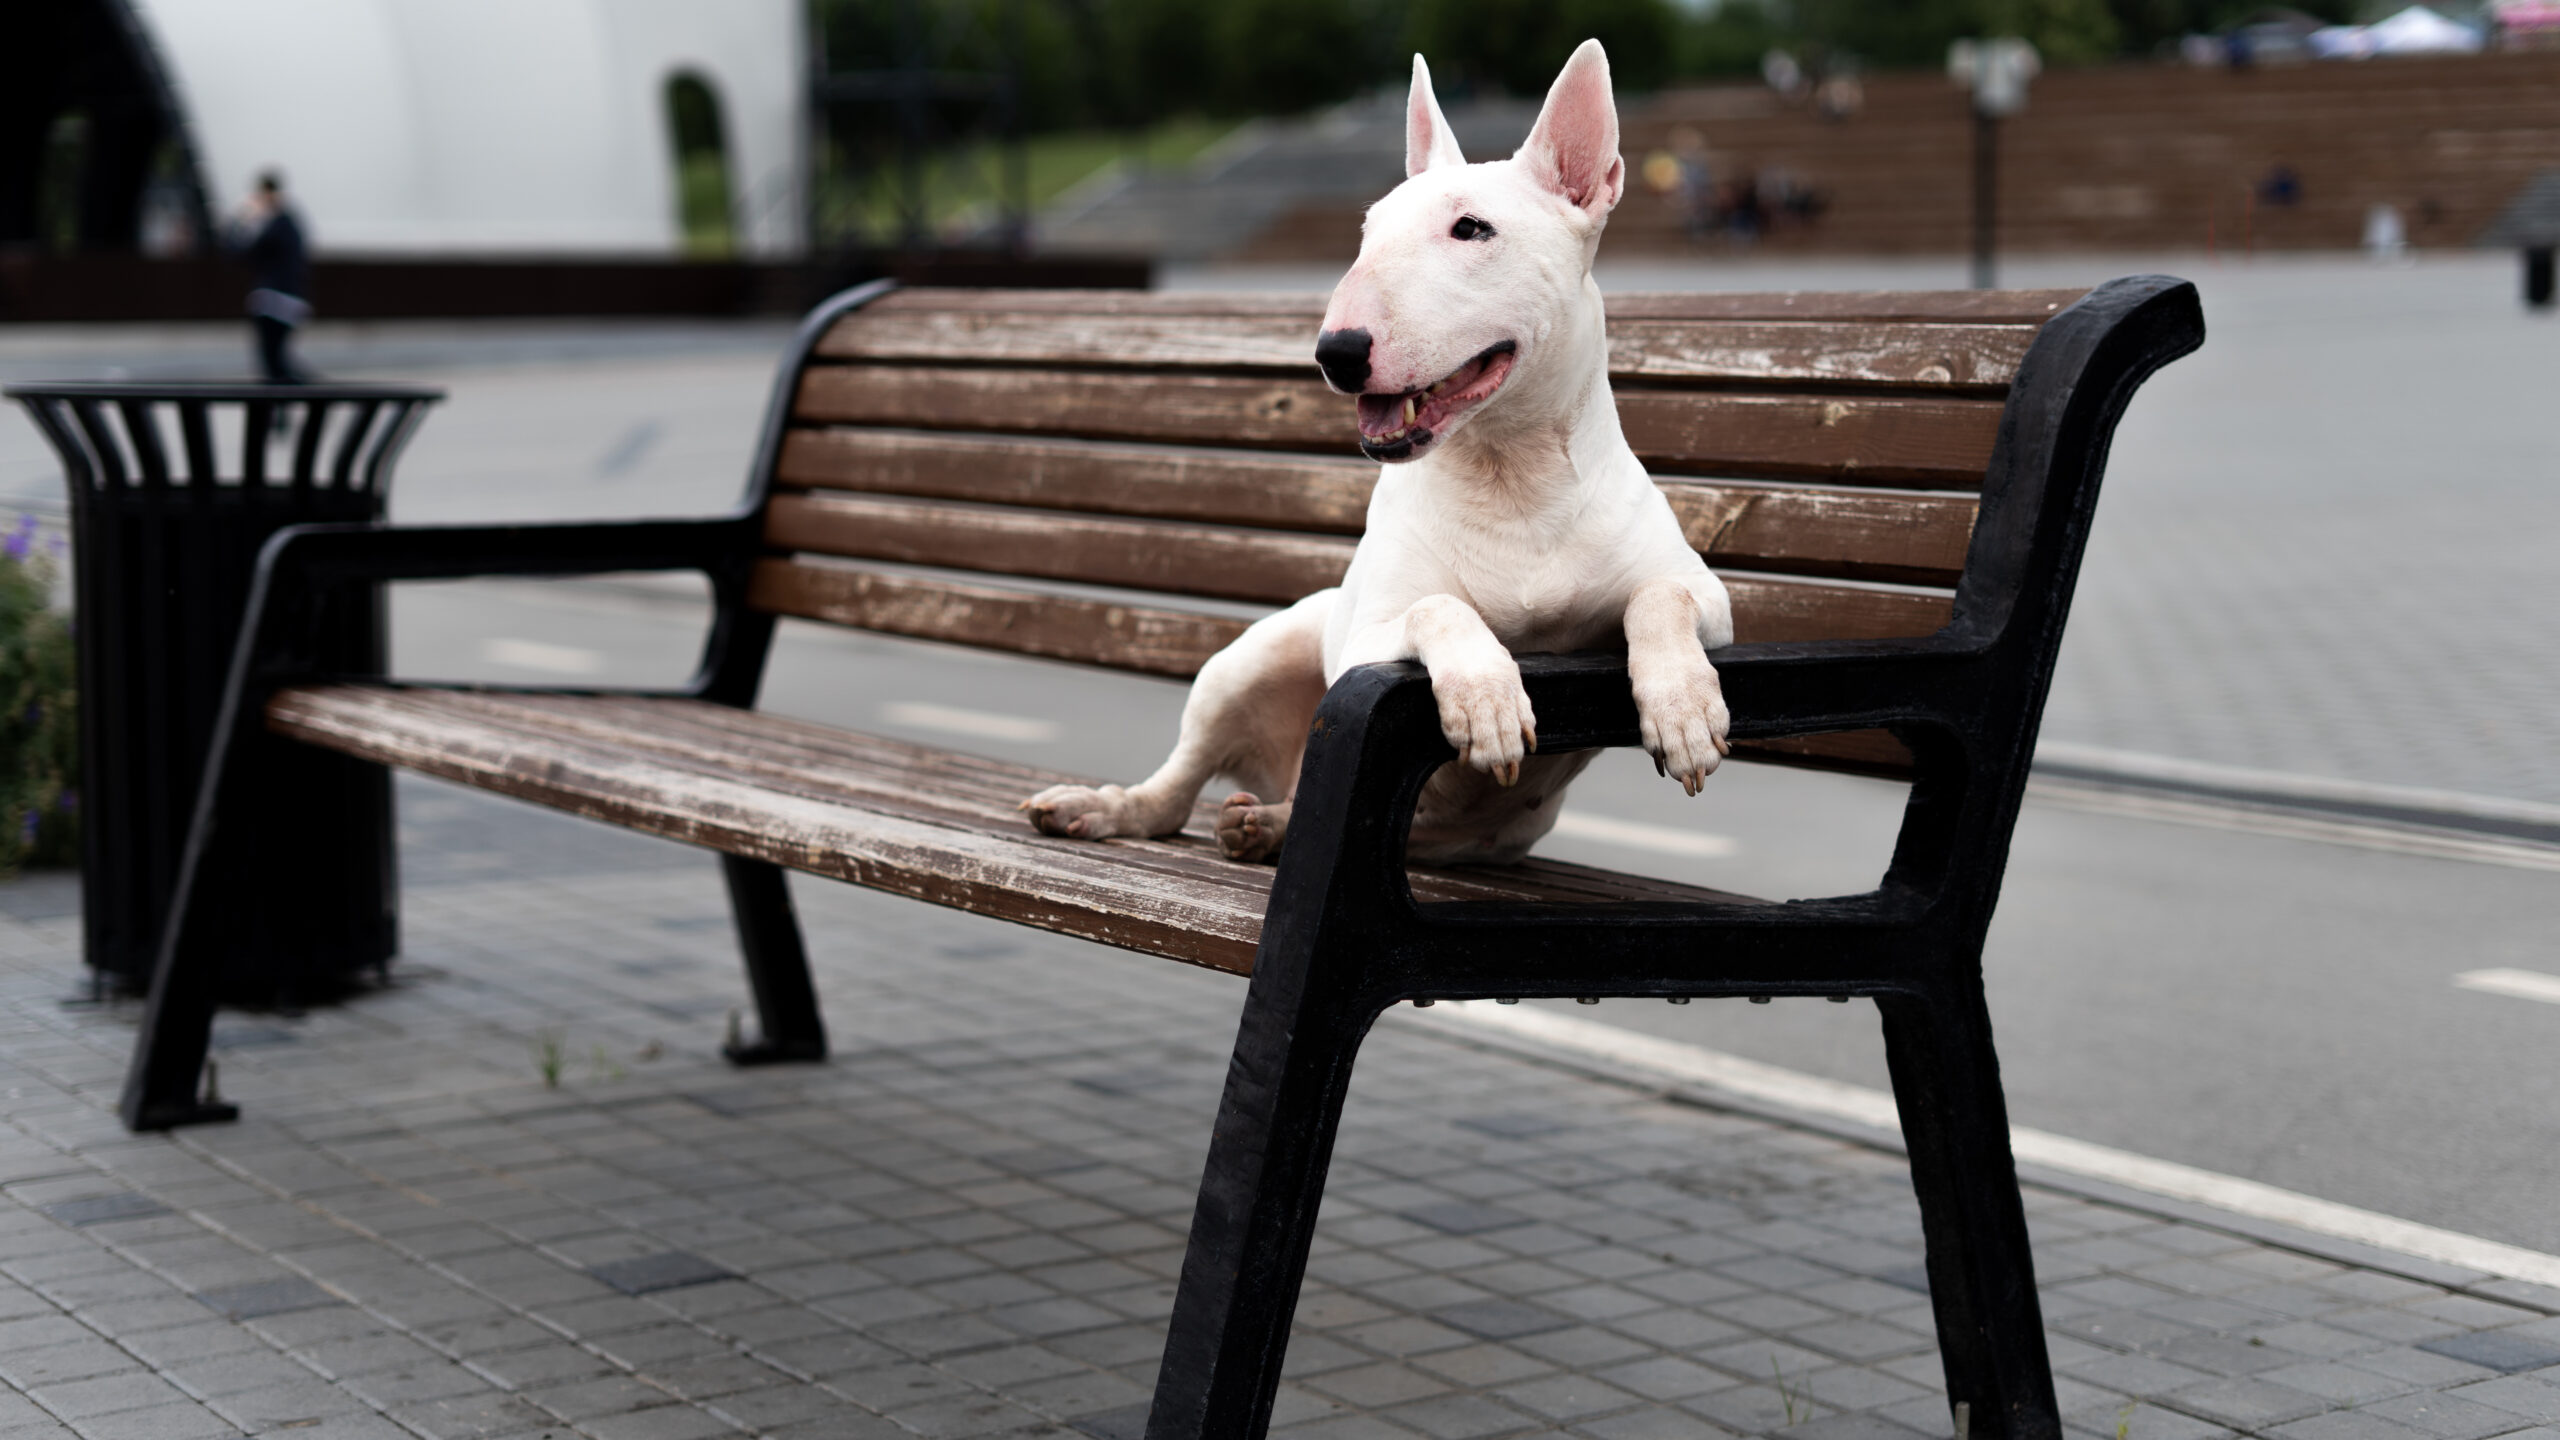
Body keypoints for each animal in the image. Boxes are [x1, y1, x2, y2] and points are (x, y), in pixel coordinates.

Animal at [1029, 36, 1730, 860]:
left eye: (1472, 228)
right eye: (1368, 234)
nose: (1336, 351)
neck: (1513, 481)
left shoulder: (1712, 601)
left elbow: (1660, 595)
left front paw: (1684, 714)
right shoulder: (1370, 642)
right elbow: (1437, 606)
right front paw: (1488, 700)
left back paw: (1264, 826)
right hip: (1252, 657)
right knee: (1172, 790)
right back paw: (1100, 808)